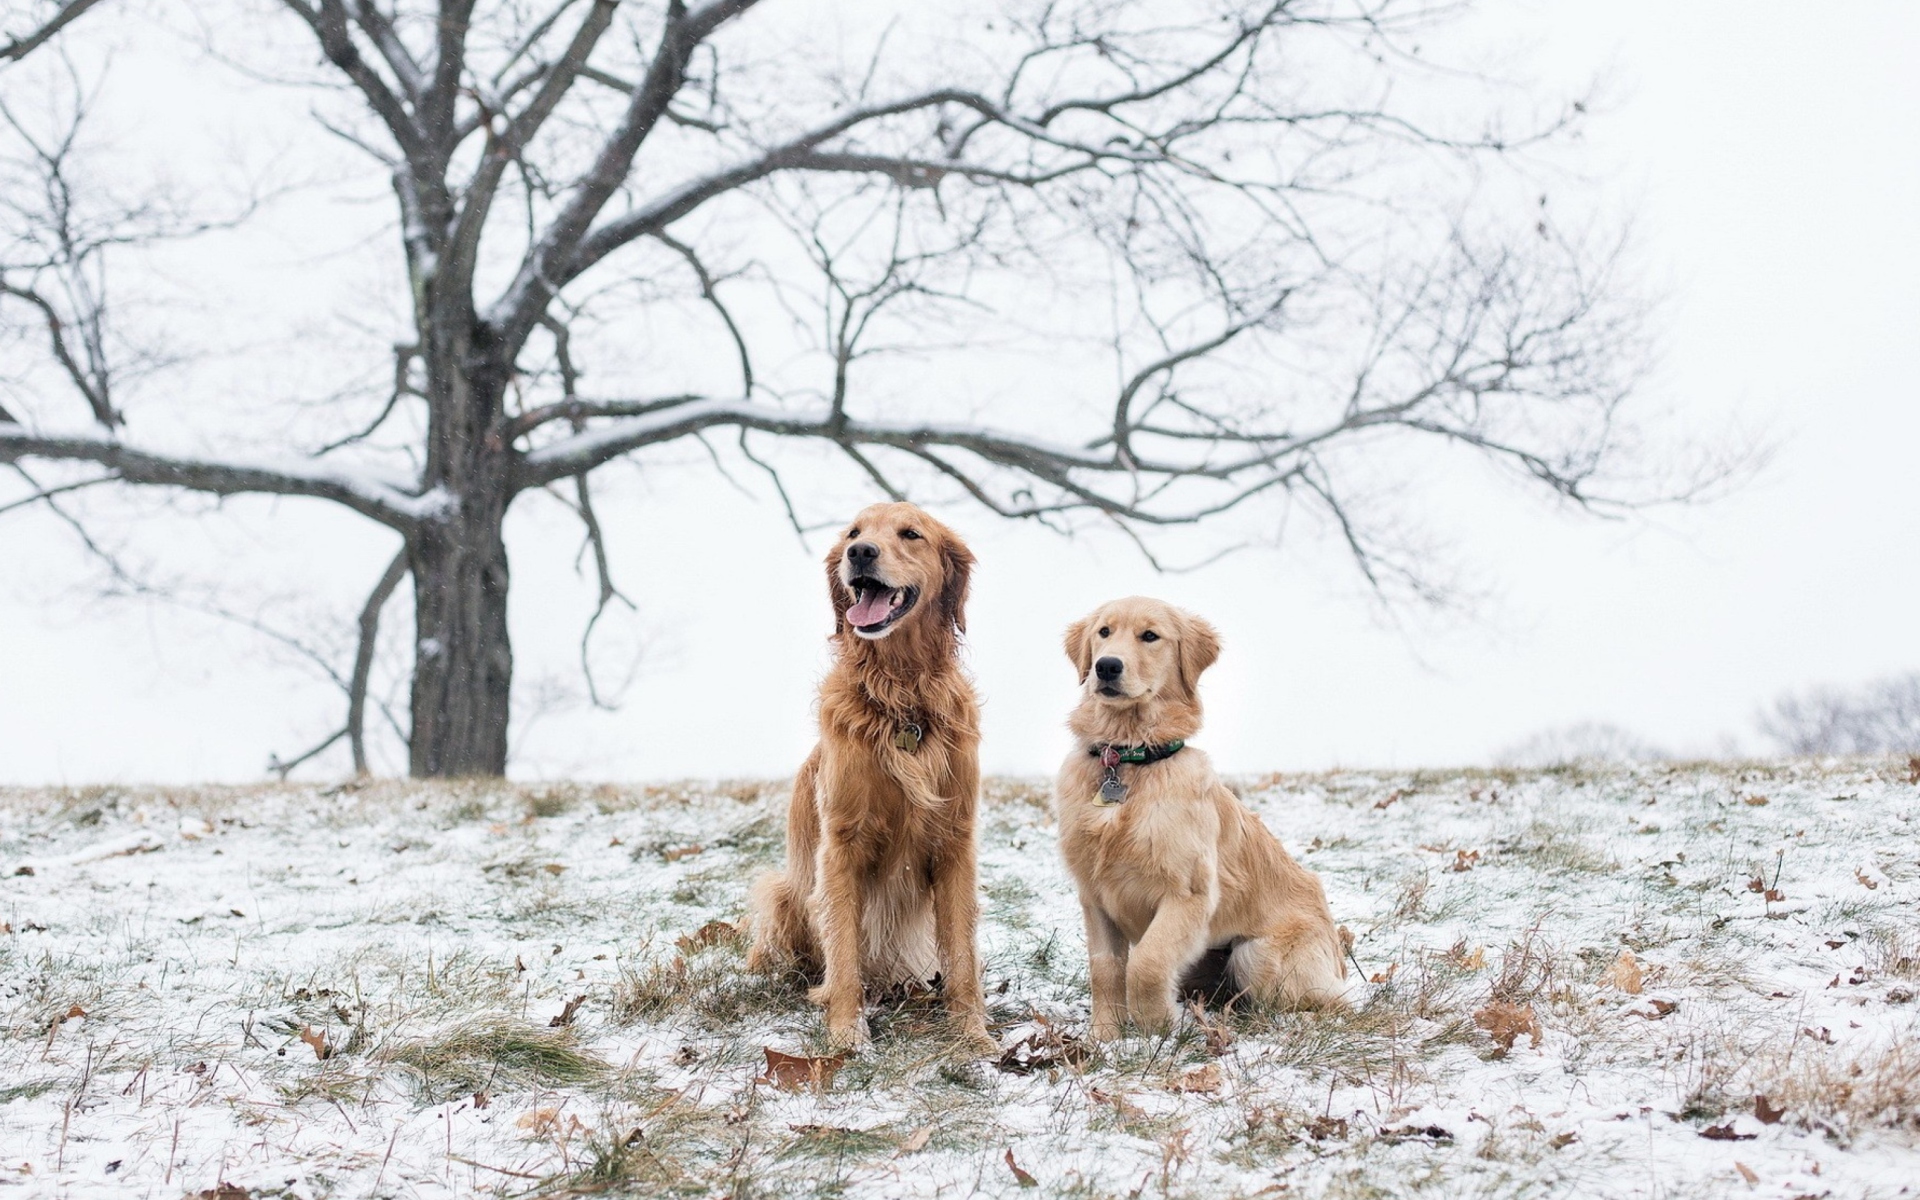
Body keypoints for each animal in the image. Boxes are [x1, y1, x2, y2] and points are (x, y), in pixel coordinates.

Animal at [744, 499, 990, 1044]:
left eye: (911, 533)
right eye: (855, 533)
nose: (859, 553)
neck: (901, 698)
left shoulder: (955, 841)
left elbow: (962, 955)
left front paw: (974, 1034)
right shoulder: (840, 845)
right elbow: (844, 954)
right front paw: (846, 1033)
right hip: (781, 892)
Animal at [1052, 595, 1351, 1036]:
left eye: (1150, 636)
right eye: (1104, 632)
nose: (1106, 666)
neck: (1129, 759)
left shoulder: (1188, 894)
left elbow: (1147, 964)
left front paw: (1157, 1029)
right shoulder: (1094, 895)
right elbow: (1105, 969)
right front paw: (1104, 1036)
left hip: (1255, 956)